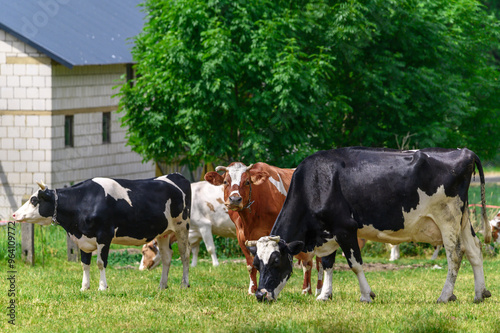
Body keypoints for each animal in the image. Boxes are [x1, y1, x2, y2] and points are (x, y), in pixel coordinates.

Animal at [12, 174, 191, 290]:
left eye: (34, 200)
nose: (14, 214)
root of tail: (177, 176)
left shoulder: (104, 236)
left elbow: (100, 262)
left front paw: (102, 287)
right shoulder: (83, 239)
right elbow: (85, 264)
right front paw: (84, 287)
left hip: (182, 227)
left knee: (184, 255)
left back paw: (184, 284)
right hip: (164, 232)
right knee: (167, 257)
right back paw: (162, 285)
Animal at [205, 161, 322, 294]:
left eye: (247, 182)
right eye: (225, 182)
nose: (234, 199)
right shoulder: (241, 237)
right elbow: (251, 265)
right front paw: (252, 290)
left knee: (318, 262)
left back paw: (317, 290)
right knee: (307, 262)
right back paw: (307, 290)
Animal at [247, 148, 492, 304]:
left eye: (276, 261)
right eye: (257, 264)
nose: (260, 295)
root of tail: (465, 151)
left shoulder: (345, 228)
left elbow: (355, 264)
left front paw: (366, 295)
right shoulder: (328, 233)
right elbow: (327, 264)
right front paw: (324, 295)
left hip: (447, 218)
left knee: (455, 254)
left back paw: (444, 296)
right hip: (462, 219)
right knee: (474, 250)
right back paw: (480, 294)